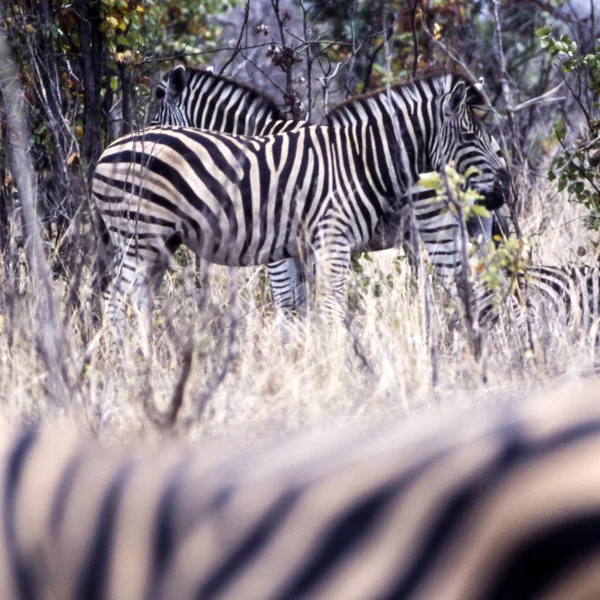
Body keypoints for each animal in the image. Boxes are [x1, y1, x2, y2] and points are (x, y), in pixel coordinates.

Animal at [95, 74, 510, 328]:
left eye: (156, 116)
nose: (503, 188)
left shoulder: (284, 250)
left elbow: (296, 308)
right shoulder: (293, 248)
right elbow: (299, 308)